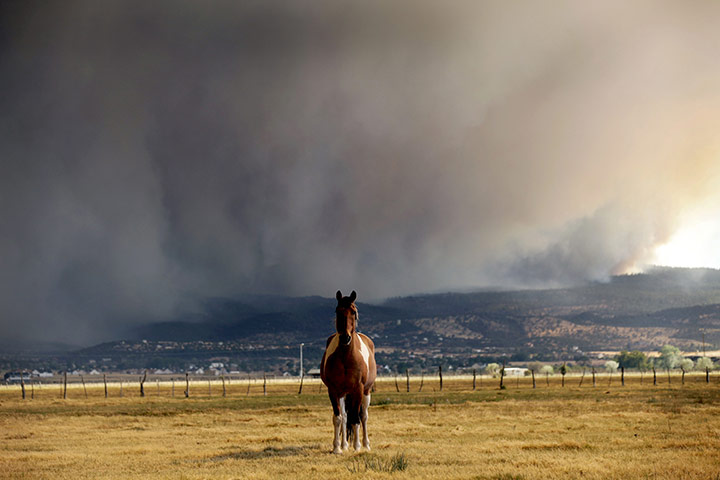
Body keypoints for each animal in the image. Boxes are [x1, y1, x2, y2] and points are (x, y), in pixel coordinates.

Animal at [320, 290, 377, 454]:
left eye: (354, 312)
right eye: (337, 311)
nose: (345, 338)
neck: (346, 356)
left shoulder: (358, 389)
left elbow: (356, 419)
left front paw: (357, 446)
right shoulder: (333, 390)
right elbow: (338, 418)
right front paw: (337, 447)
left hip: (366, 391)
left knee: (363, 416)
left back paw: (365, 444)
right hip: (343, 393)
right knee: (345, 416)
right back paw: (345, 444)